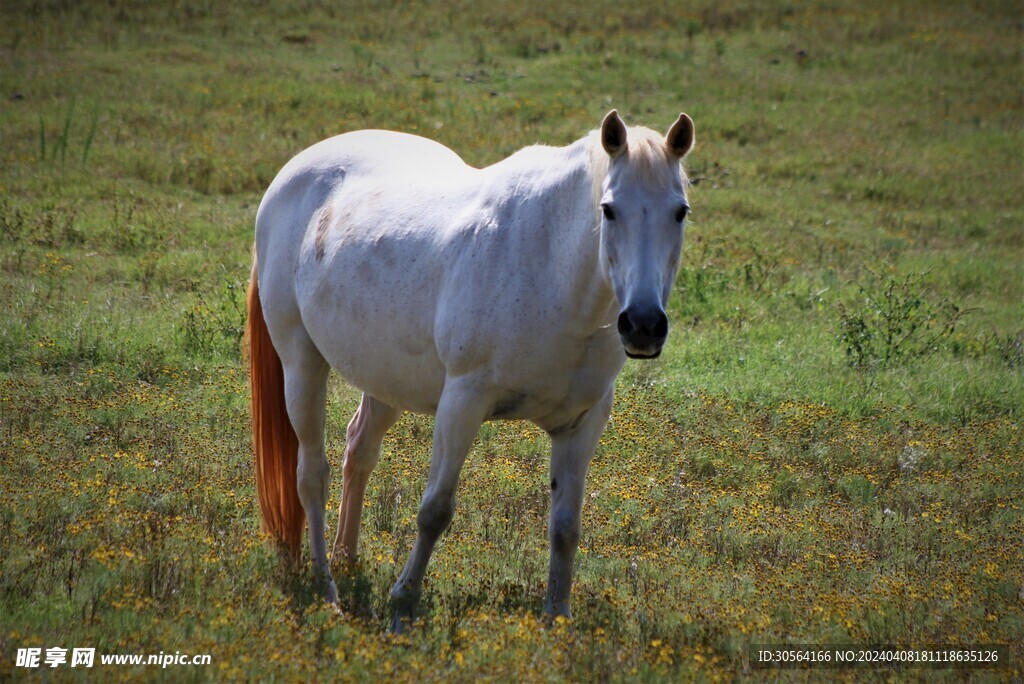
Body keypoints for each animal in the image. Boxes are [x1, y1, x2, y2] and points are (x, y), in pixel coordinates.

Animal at [248, 109, 696, 626]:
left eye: (680, 211)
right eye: (608, 209)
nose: (643, 325)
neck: (550, 269)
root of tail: (290, 176)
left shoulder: (582, 423)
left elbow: (565, 526)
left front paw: (557, 616)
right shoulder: (462, 403)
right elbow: (435, 511)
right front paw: (403, 602)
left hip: (384, 377)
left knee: (358, 450)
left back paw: (347, 558)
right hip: (301, 361)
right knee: (310, 476)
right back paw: (328, 590)